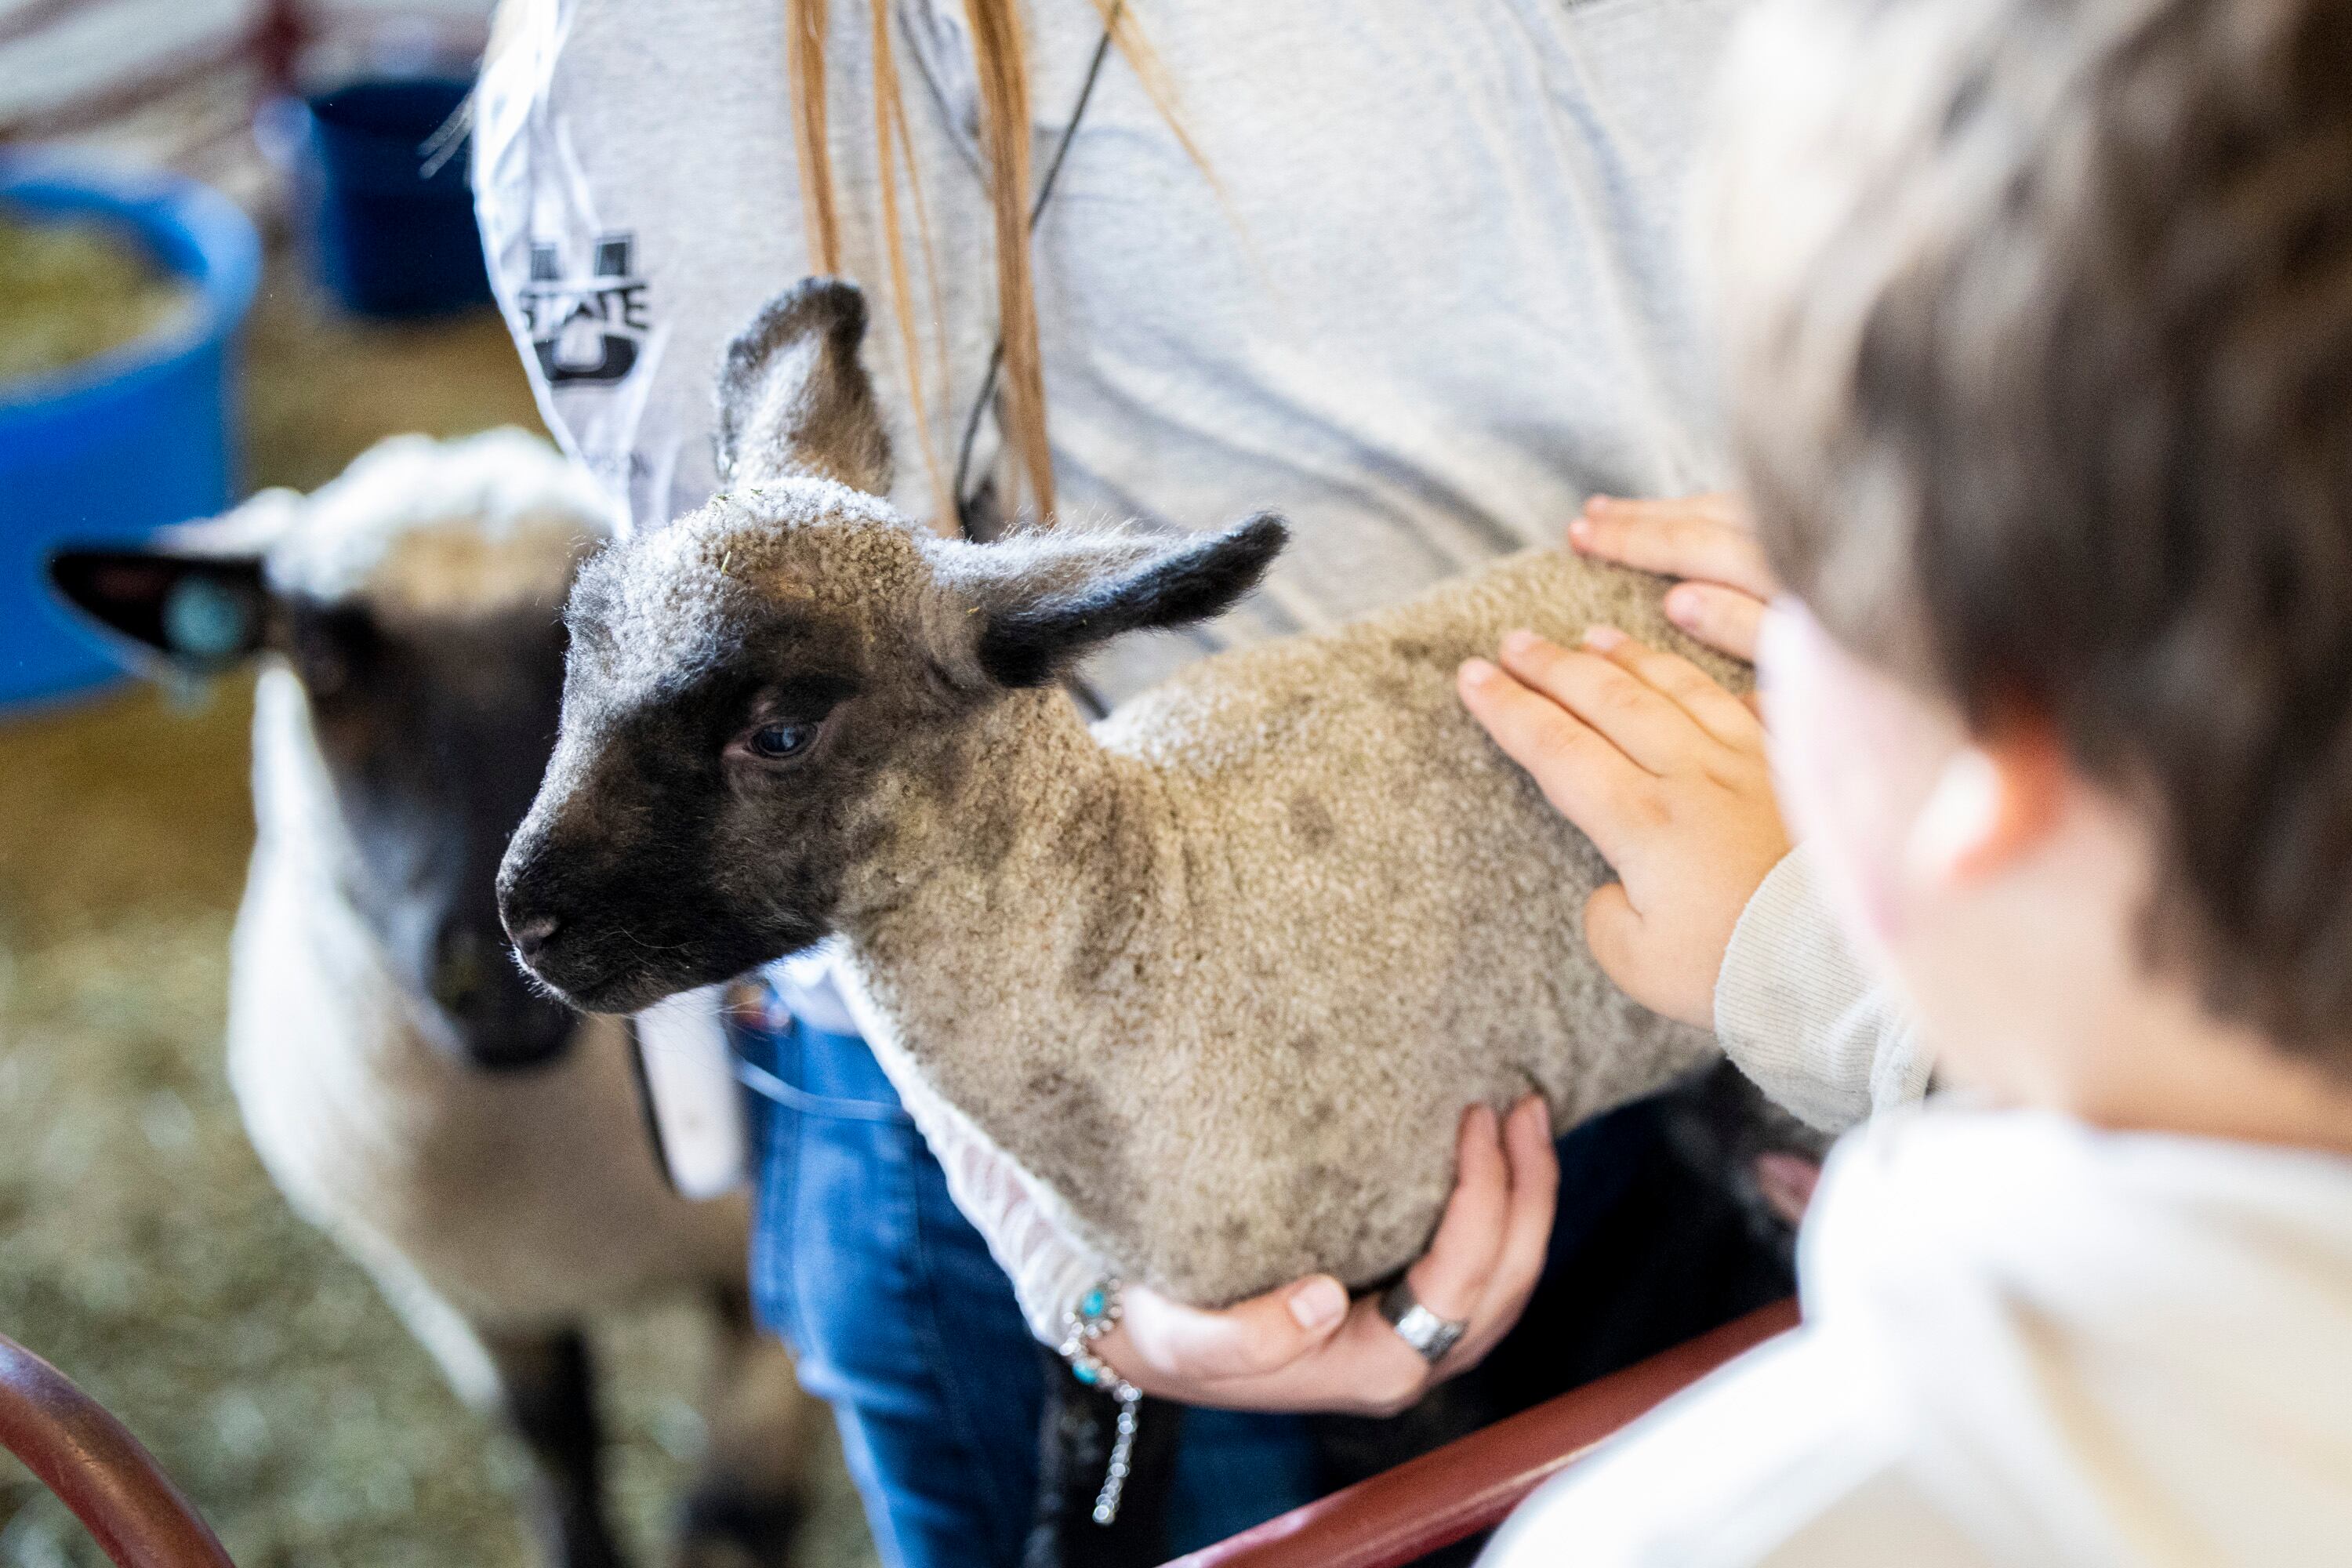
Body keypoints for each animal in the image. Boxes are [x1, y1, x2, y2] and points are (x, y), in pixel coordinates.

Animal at [48, 430, 815, 1568]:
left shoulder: (772, 1306)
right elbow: (563, 1475)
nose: (498, 972)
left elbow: (731, 1522)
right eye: (317, 658)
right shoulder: (476, 1299)